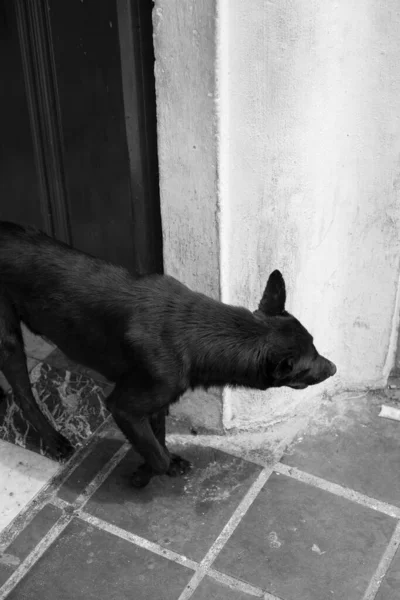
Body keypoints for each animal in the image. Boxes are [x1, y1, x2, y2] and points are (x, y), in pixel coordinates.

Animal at [0, 220, 336, 488]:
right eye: (308, 365)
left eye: (315, 345)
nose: (334, 368)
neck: (197, 331)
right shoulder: (125, 405)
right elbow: (156, 453)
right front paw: (152, 472)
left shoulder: (157, 401)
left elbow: (156, 439)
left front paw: (152, 467)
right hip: (9, 341)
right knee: (23, 394)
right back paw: (53, 440)